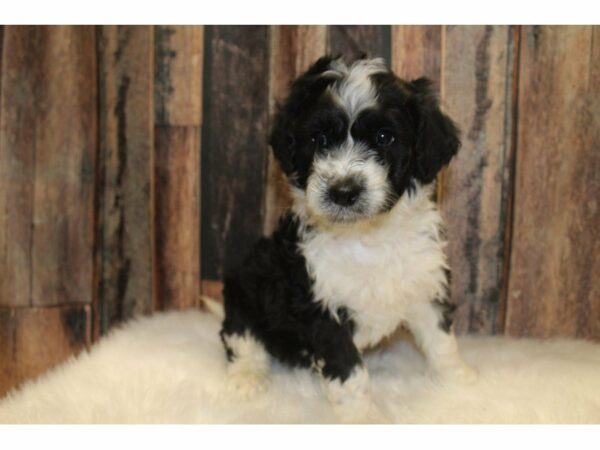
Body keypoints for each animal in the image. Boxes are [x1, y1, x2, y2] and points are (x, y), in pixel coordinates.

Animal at [218, 55, 476, 422]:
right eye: (320, 139)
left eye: (384, 137)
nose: (343, 191)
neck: (367, 235)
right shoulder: (321, 305)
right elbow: (349, 370)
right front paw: (363, 417)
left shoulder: (424, 283)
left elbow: (441, 340)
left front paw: (459, 382)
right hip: (245, 290)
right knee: (242, 339)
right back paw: (246, 378)